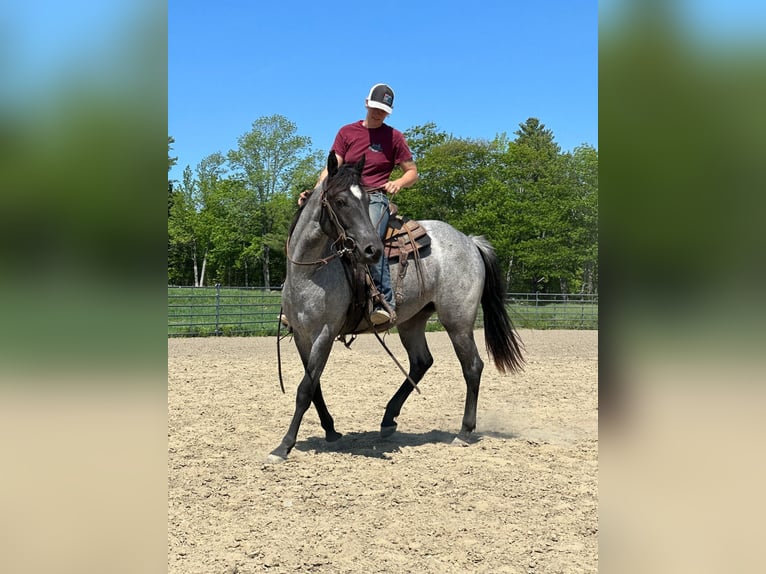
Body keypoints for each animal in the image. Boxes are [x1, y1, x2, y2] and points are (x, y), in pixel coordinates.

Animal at [268, 151, 524, 466]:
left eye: (366, 200)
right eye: (340, 201)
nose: (372, 250)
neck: (309, 272)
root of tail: (469, 241)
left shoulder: (324, 334)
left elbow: (305, 389)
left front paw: (283, 446)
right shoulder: (302, 336)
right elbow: (313, 386)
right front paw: (330, 430)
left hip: (458, 320)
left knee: (472, 366)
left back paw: (464, 432)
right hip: (412, 320)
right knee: (421, 361)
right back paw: (388, 419)